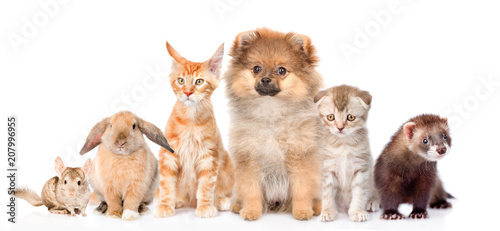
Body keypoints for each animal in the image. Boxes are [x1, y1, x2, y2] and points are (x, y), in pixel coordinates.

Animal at [153, 41, 233, 218]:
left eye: (199, 82)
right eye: (181, 80)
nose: (188, 92)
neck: (190, 120)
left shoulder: (209, 155)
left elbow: (206, 186)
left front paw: (205, 206)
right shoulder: (168, 154)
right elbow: (166, 184)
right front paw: (165, 205)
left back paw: (221, 201)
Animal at [224, 28, 324, 221]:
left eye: (281, 70)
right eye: (256, 68)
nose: (265, 79)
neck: (270, 110)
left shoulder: (300, 157)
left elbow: (302, 189)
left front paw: (302, 211)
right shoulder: (248, 158)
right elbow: (251, 190)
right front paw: (251, 210)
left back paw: (317, 207)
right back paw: (237, 205)